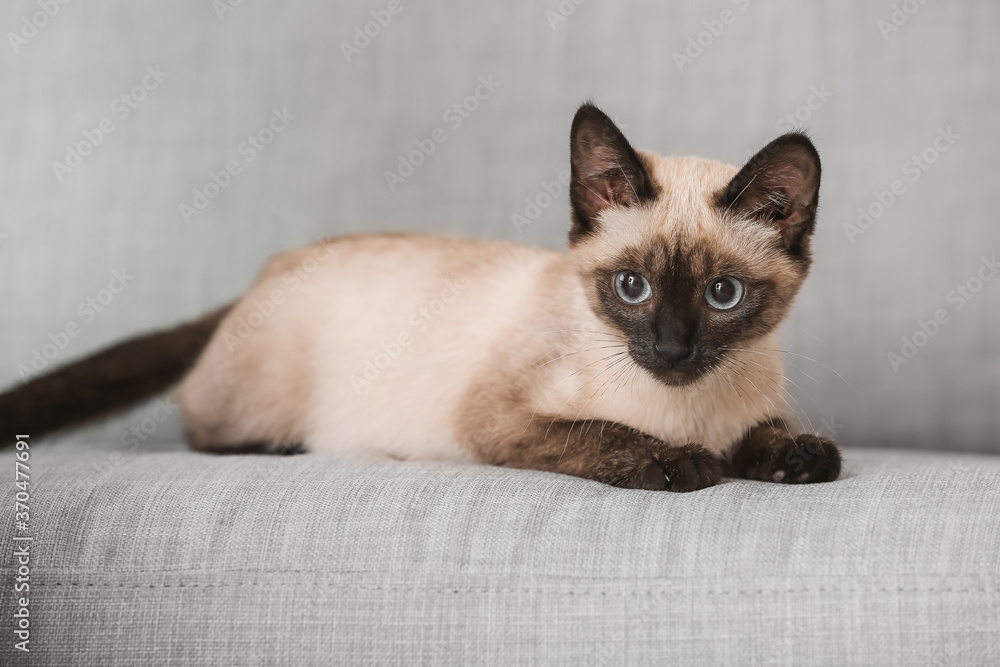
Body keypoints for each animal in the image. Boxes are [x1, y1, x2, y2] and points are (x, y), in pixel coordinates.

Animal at [0, 103, 844, 490]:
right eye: (631, 287)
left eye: (723, 294)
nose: (670, 348)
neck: (686, 407)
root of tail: (269, 269)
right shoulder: (498, 418)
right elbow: (606, 434)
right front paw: (682, 463)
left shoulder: (753, 406)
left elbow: (772, 433)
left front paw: (798, 454)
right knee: (204, 430)